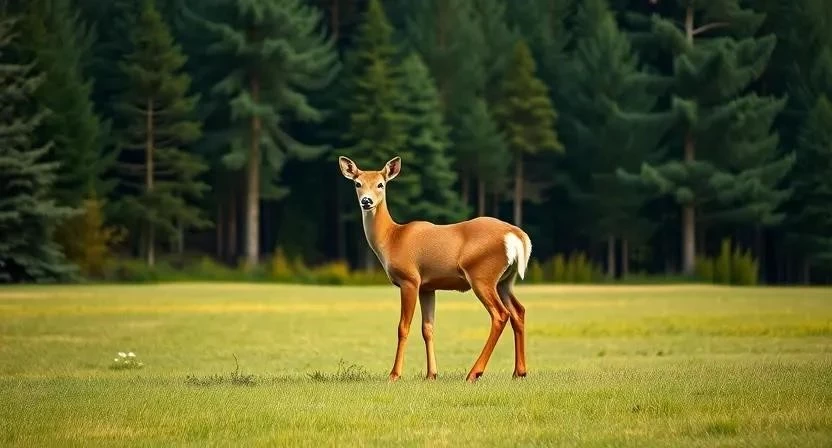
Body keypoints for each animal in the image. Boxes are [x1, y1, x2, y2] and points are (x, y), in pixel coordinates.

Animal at [338, 155, 532, 383]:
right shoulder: (427, 287)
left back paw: (474, 373)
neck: (392, 239)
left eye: (381, 184)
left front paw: (394, 374)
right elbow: (427, 328)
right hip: (505, 280)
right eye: (357, 184)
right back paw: (519, 372)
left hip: (482, 274)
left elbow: (403, 327)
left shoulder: (410, 279)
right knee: (518, 311)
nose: (366, 201)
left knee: (501, 314)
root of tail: (517, 235)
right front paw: (431, 374)